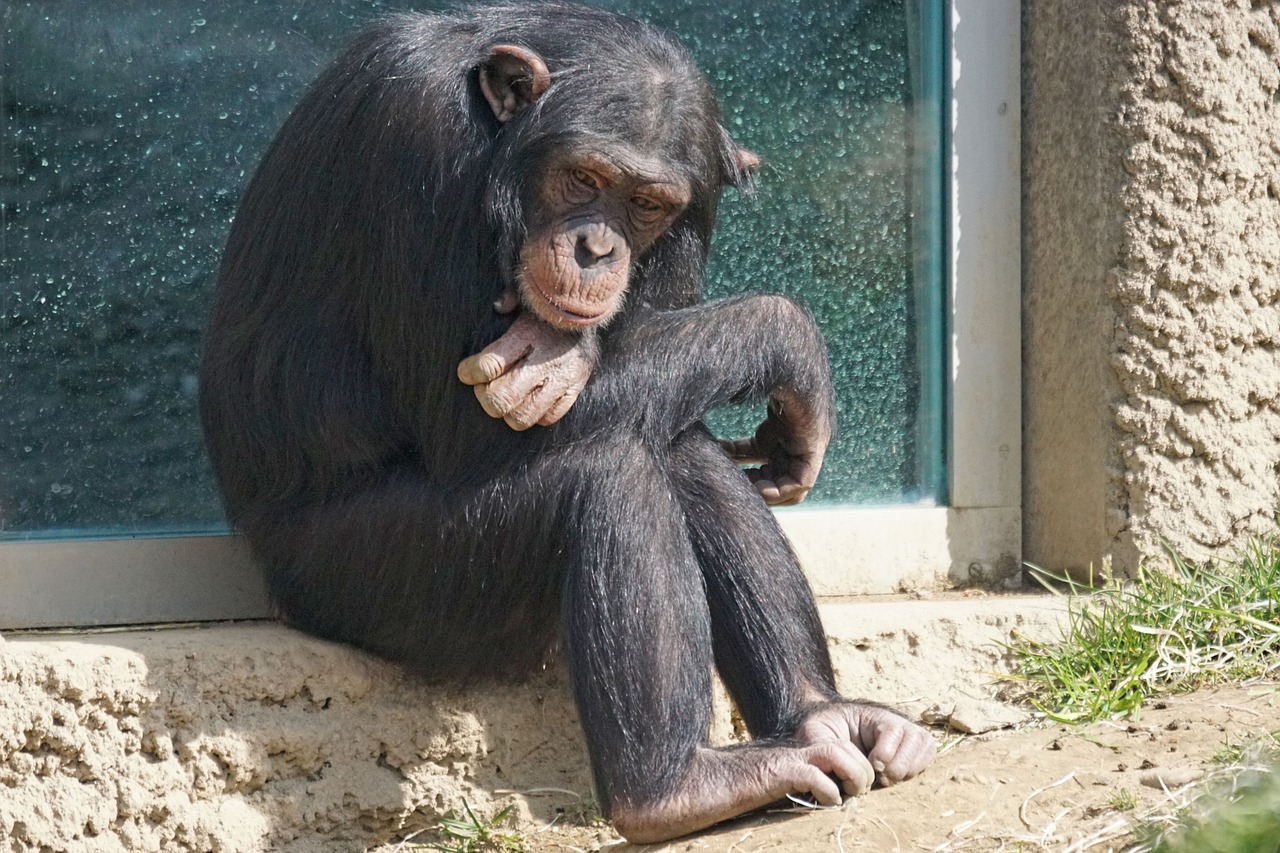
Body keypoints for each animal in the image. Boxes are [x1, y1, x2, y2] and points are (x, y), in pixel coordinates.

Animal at [202, 1, 942, 835]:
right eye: (584, 178)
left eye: (647, 205)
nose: (595, 247)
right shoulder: (414, 138)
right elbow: (469, 433)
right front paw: (790, 340)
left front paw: (566, 353)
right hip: (367, 579)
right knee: (606, 472)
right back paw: (673, 787)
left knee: (678, 441)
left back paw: (823, 717)